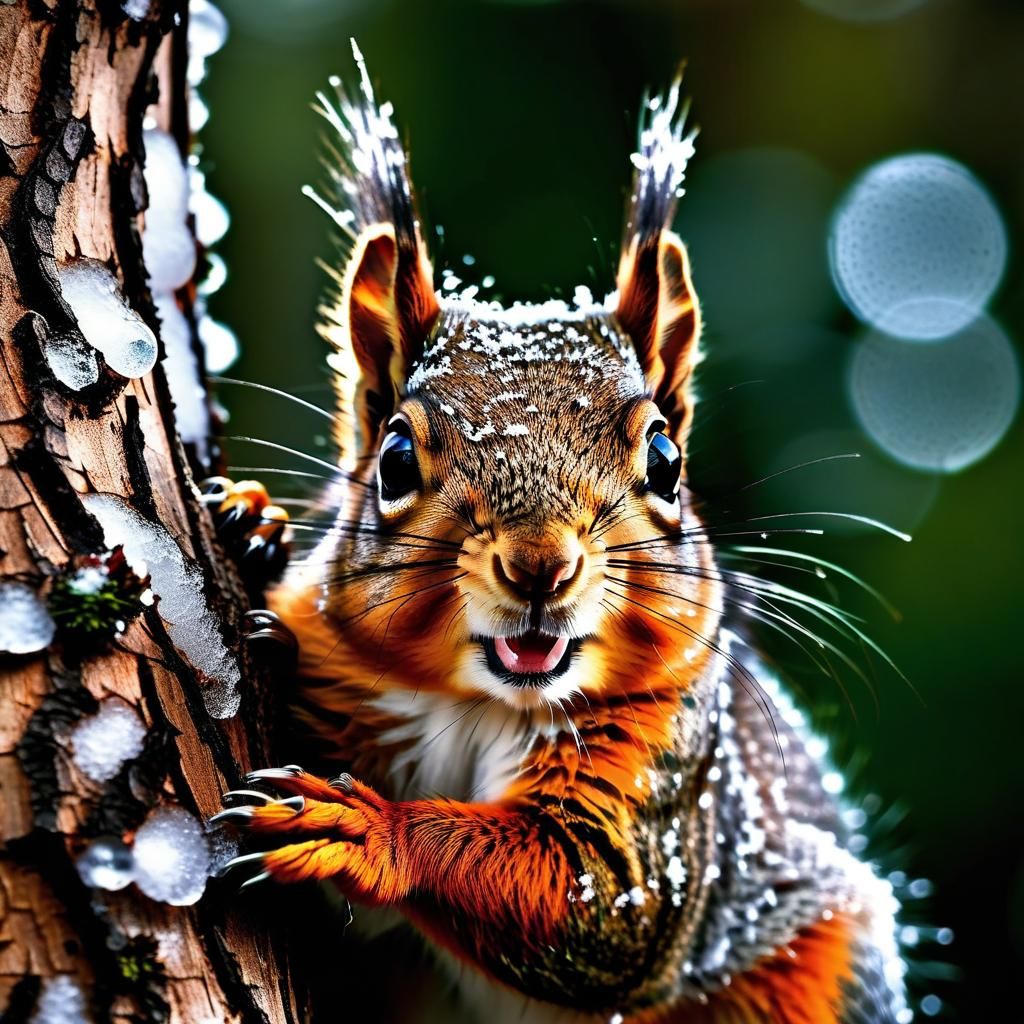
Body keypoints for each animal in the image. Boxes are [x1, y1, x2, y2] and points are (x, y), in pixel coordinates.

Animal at [210, 44, 912, 1024]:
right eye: (394, 459)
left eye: (665, 458)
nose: (540, 565)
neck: (478, 704)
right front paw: (253, 521)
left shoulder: (660, 796)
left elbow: (585, 895)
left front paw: (365, 831)